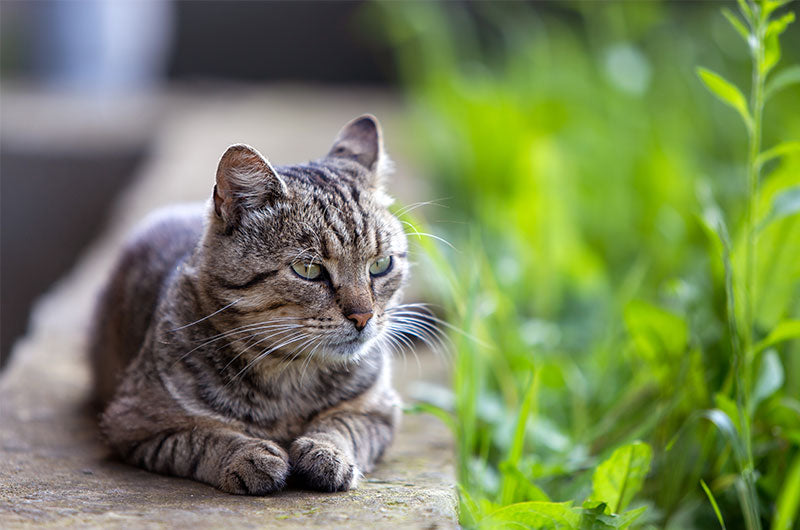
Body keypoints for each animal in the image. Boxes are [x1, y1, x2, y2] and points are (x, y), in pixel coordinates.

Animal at [88, 114, 416, 490]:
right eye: (308, 270)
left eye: (380, 265)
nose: (363, 316)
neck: (290, 374)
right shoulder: (134, 421)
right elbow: (202, 437)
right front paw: (249, 455)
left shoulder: (378, 409)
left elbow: (343, 426)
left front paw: (327, 451)